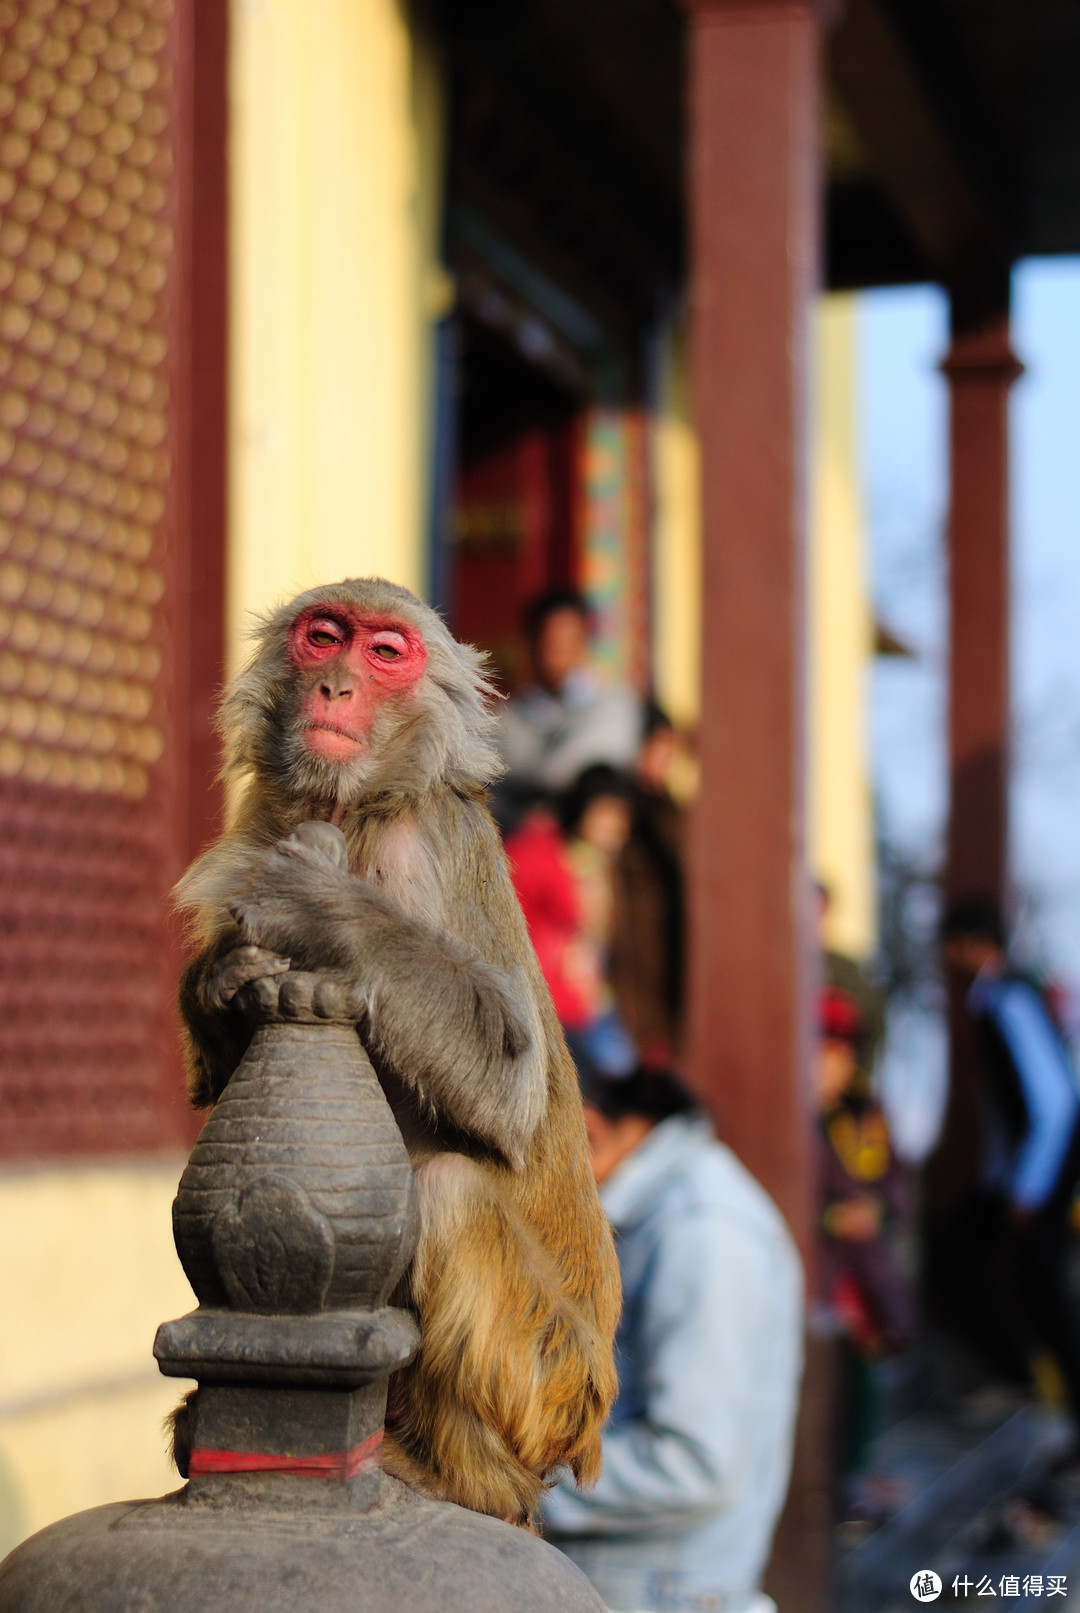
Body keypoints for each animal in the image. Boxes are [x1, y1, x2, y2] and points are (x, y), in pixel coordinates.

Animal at [174, 577, 622, 1522]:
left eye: (385, 653)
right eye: (323, 636)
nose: (336, 685)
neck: (355, 808)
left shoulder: (427, 842)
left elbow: (510, 1075)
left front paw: (322, 906)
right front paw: (224, 976)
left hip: (549, 1387)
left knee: (449, 1190)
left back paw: (463, 1478)